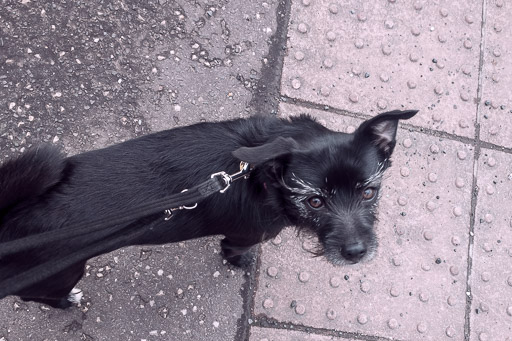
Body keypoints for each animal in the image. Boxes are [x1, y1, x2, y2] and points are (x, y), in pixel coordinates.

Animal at [0, 109, 416, 308]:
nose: (356, 253)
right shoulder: (241, 236)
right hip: (62, 273)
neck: (263, 175)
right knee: (35, 296)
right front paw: (242, 264)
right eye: (314, 200)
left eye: (369, 192)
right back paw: (66, 302)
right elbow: (233, 251)